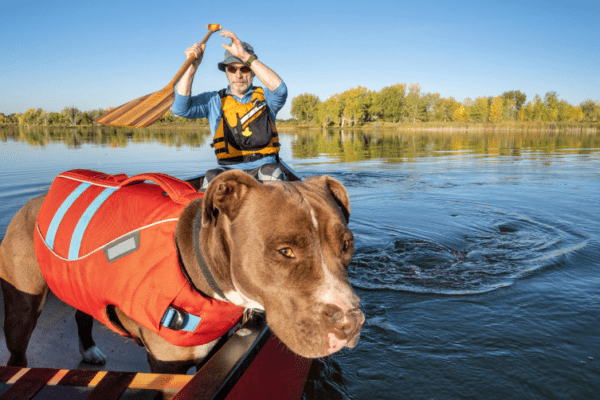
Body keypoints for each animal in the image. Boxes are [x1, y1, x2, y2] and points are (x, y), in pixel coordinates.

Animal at [0, 170, 366, 374]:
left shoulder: (213, 355)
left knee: (82, 312)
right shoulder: (166, 365)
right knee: (17, 351)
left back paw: (89, 349)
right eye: (285, 251)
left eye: (347, 245)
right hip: (22, 307)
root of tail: (34, 202)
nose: (351, 321)